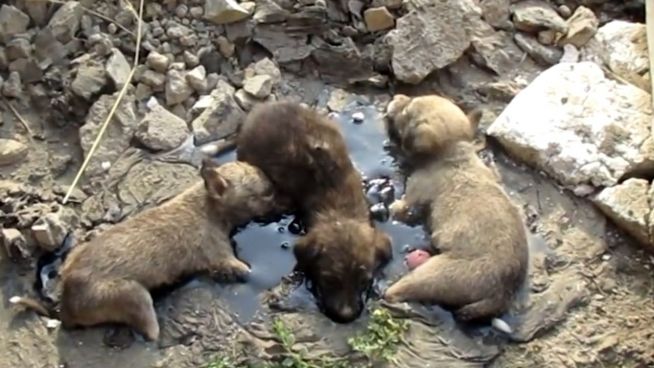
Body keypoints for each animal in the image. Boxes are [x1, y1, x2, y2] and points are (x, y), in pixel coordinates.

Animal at [10, 160, 288, 340]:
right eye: (265, 193)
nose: (284, 200)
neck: (207, 204)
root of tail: (65, 307)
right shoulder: (223, 258)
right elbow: (247, 270)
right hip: (135, 295)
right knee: (151, 332)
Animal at [384, 93, 528, 326]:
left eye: (407, 112)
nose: (396, 96)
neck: (454, 153)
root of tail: (502, 292)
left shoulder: (414, 194)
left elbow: (402, 207)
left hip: (434, 274)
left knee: (398, 292)